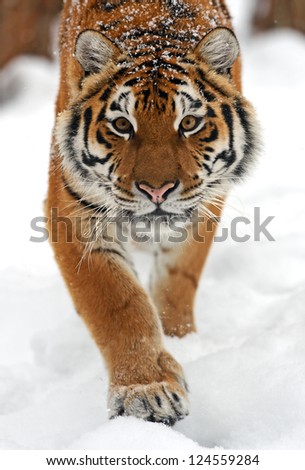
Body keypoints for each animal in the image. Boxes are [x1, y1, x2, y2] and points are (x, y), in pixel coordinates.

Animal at [46, 0, 260, 426]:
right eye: (122, 125)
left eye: (189, 123)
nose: (156, 190)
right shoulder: (71, 212)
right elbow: (117, 301)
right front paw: (145, 391)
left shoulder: (205, 202)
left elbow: (178, 281)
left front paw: (180, 339)